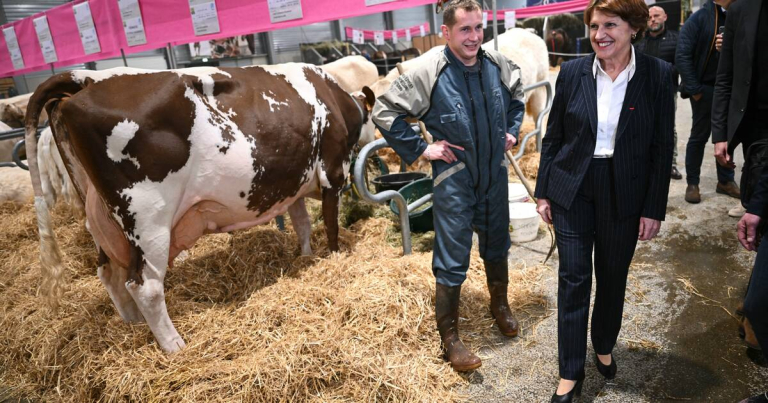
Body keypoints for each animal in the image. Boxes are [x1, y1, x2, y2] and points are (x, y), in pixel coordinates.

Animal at [28, 64, 376, 352]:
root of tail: (86, 79)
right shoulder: (333, 173)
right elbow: (330, 227)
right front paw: (334, 258)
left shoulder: (293, 187)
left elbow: (302, 224)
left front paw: (305, 257)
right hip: (148, 219)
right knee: (145, 286)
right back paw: (174, 345)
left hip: (103, 222)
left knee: (110, 274)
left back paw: (133, 324)